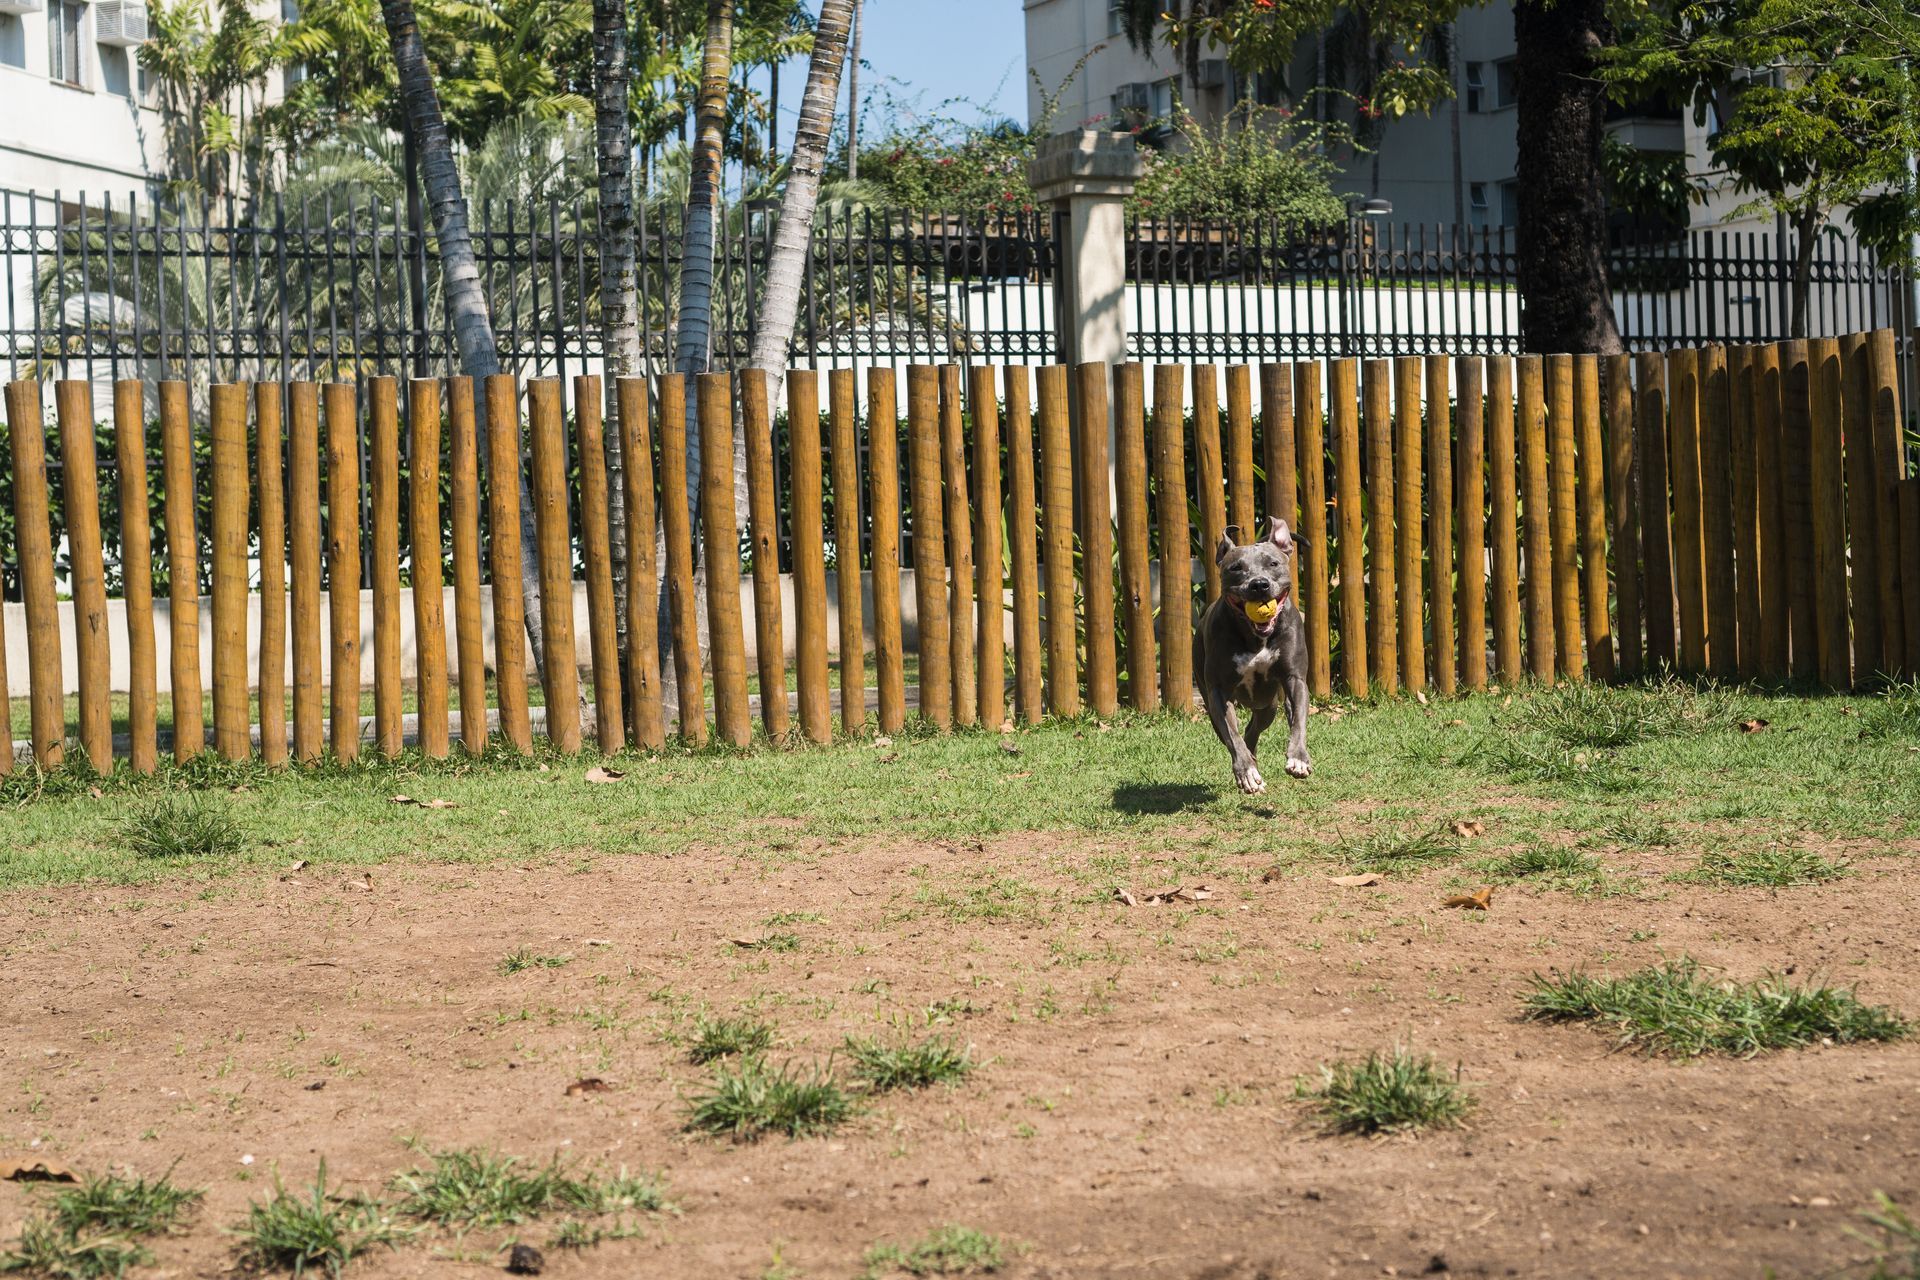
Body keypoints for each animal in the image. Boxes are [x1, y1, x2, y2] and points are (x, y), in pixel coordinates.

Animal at [1190, 518, 1313, 794]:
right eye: (1236, 568)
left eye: (1273, 563)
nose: (1259, 584)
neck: (1256, 637)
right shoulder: (1218, 692)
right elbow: (1232, 737)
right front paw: (1246, 772)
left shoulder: (1295, 679)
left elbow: (1298, 722)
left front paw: (1298, 759)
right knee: (1236, 735)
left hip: (1268, 705)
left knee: (1254, 729)